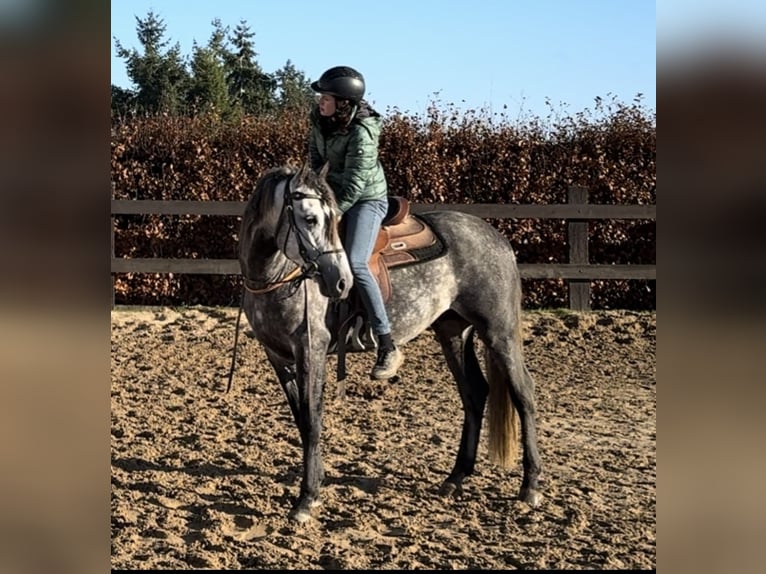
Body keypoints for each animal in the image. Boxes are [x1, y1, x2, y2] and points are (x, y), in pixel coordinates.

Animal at [237, 163, 544, 528]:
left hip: (499, 331)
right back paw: (456, 478)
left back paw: (530, 486)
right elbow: (301, 419)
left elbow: (312, 420)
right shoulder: (278, 357)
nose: (340, 282)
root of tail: (497, 239)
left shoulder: (311, 351)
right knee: (474, 393)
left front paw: (307, 499)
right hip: (453, 331)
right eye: (310, 219)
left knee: (523, 394)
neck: (278, 275)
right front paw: (316, 483)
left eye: (330, 218)